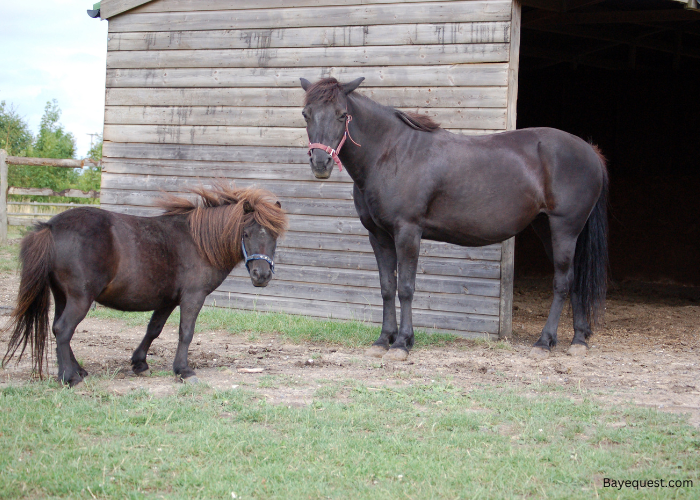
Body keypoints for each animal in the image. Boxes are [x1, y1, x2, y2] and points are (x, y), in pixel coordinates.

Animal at [2, 186, 288, 384]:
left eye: (274, 236)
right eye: (246, 233)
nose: (262, 275)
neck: (198, 243)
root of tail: (51, 226)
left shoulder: (167, 300)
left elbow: (154, 330)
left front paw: (139, 363)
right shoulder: (192, 297)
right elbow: (186, 332)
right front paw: (184, 371)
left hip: (62, 296)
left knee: (58, 328)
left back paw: (76, 370)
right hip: (80, 298)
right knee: (63, 329)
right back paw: (70, 377)